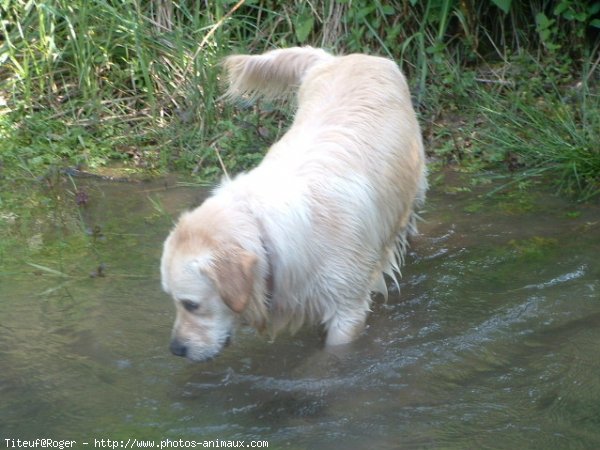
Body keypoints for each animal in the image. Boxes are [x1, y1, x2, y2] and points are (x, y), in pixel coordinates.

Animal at [162, 45, 426, 362]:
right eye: (172, 300)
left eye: (191, 304)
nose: (175, 349)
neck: (263, 231)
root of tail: (343, 58)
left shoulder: (347, 309)